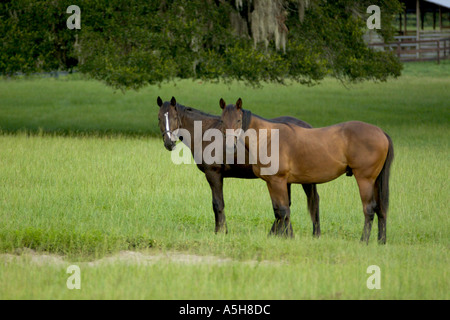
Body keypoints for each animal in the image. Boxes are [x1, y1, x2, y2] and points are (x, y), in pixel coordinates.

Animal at [156, 96, 322, 236]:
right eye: (159, 118)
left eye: (175, 117)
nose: (169, 143)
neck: (206, 133)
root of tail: (308, 127)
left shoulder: (213, 174)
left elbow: (217, 204)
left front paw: (220, 232)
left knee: (312, 201)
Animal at [221, 97, 394, 242]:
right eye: (223, 120)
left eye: (238, 120)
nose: (229, 146)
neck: (268, 139)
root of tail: (381, 132)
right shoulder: (271, 182)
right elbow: (278, 210)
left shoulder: (278, 181)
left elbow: (283, 210)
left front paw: (289, 237)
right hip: (376, 181)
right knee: (381, 209)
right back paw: (381, 241)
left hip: (365, 180)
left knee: (369, 209)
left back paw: (363, 241)